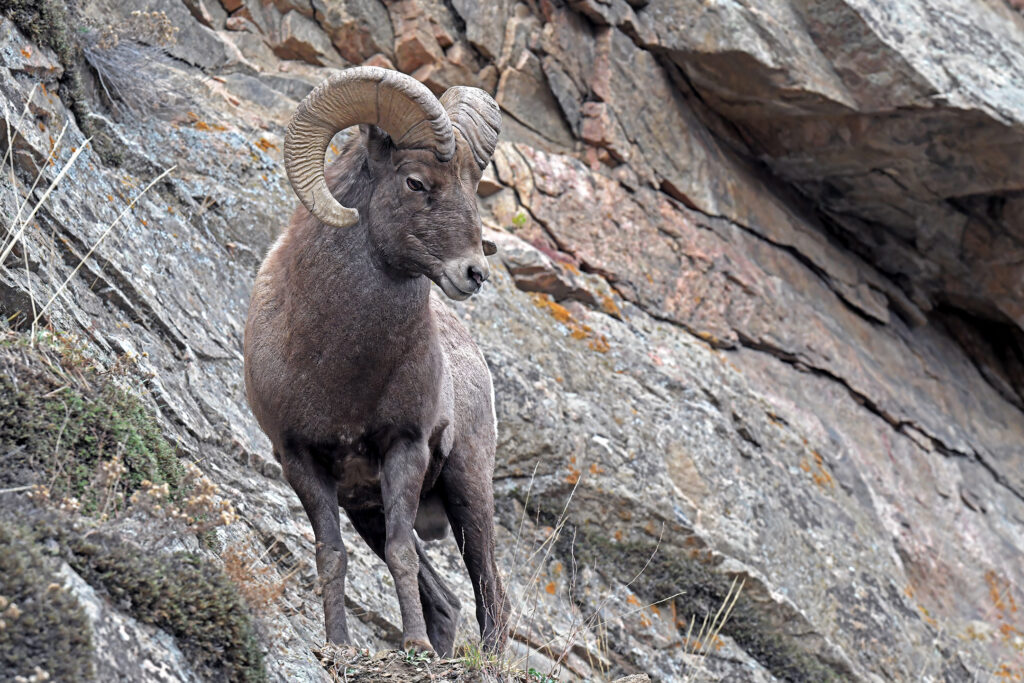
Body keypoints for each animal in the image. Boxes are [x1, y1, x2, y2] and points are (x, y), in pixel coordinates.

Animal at [244, 65, 507, 655]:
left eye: (471, 186)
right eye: (415, 182)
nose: (474, 273)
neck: (339, 367)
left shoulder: (403, 449)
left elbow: (399, 554)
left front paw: (412, 647)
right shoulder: (304, 461)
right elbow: (331, 556)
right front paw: (339, 645)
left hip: (467, 488)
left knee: (490, 598)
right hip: (368, 508)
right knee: (448, 601)